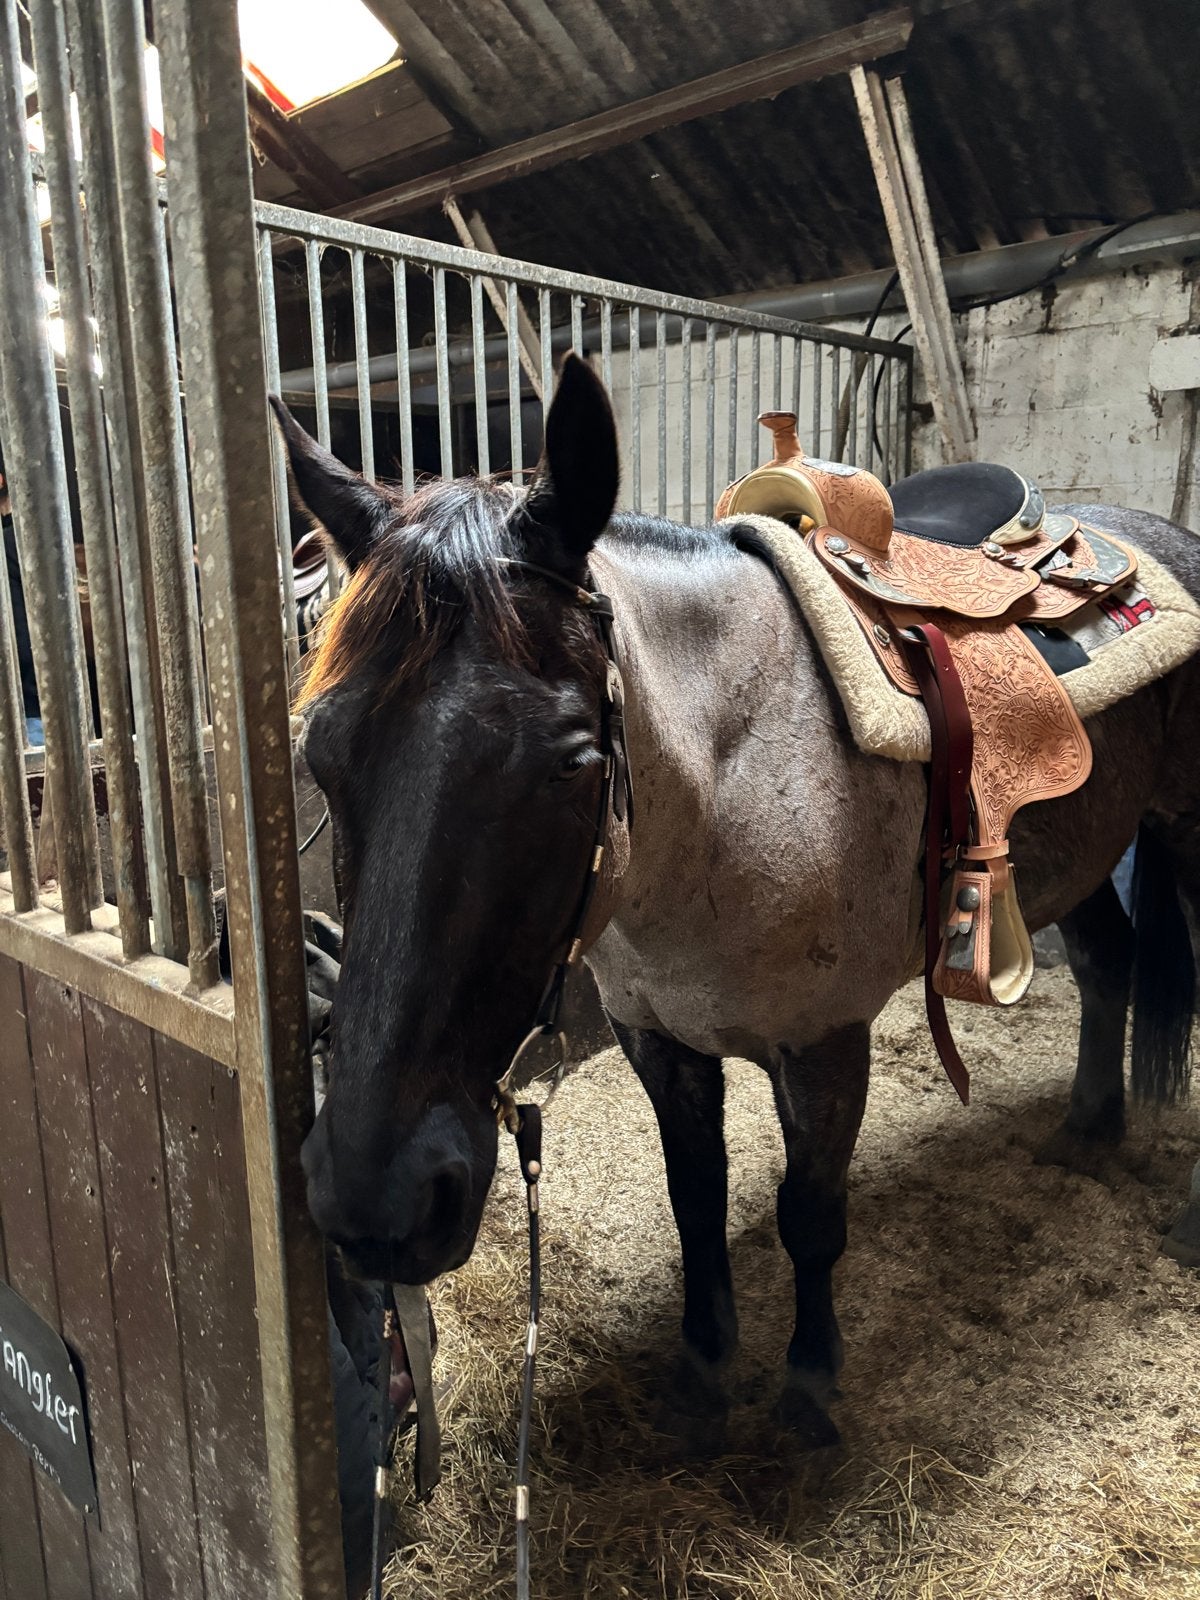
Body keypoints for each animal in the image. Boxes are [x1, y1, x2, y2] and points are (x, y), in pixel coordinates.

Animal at [272, 355, 1200, 1448]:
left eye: (572, 761)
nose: (374, 1201)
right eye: (321, 751)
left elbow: (812, 1214)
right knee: (1107, 963)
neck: (733, 782)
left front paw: (807, 1389)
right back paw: (1088, 1132)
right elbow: (695, 1197)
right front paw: (703, 1368)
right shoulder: (660, 1040)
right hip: (1073, 843)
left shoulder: (825, 1045)